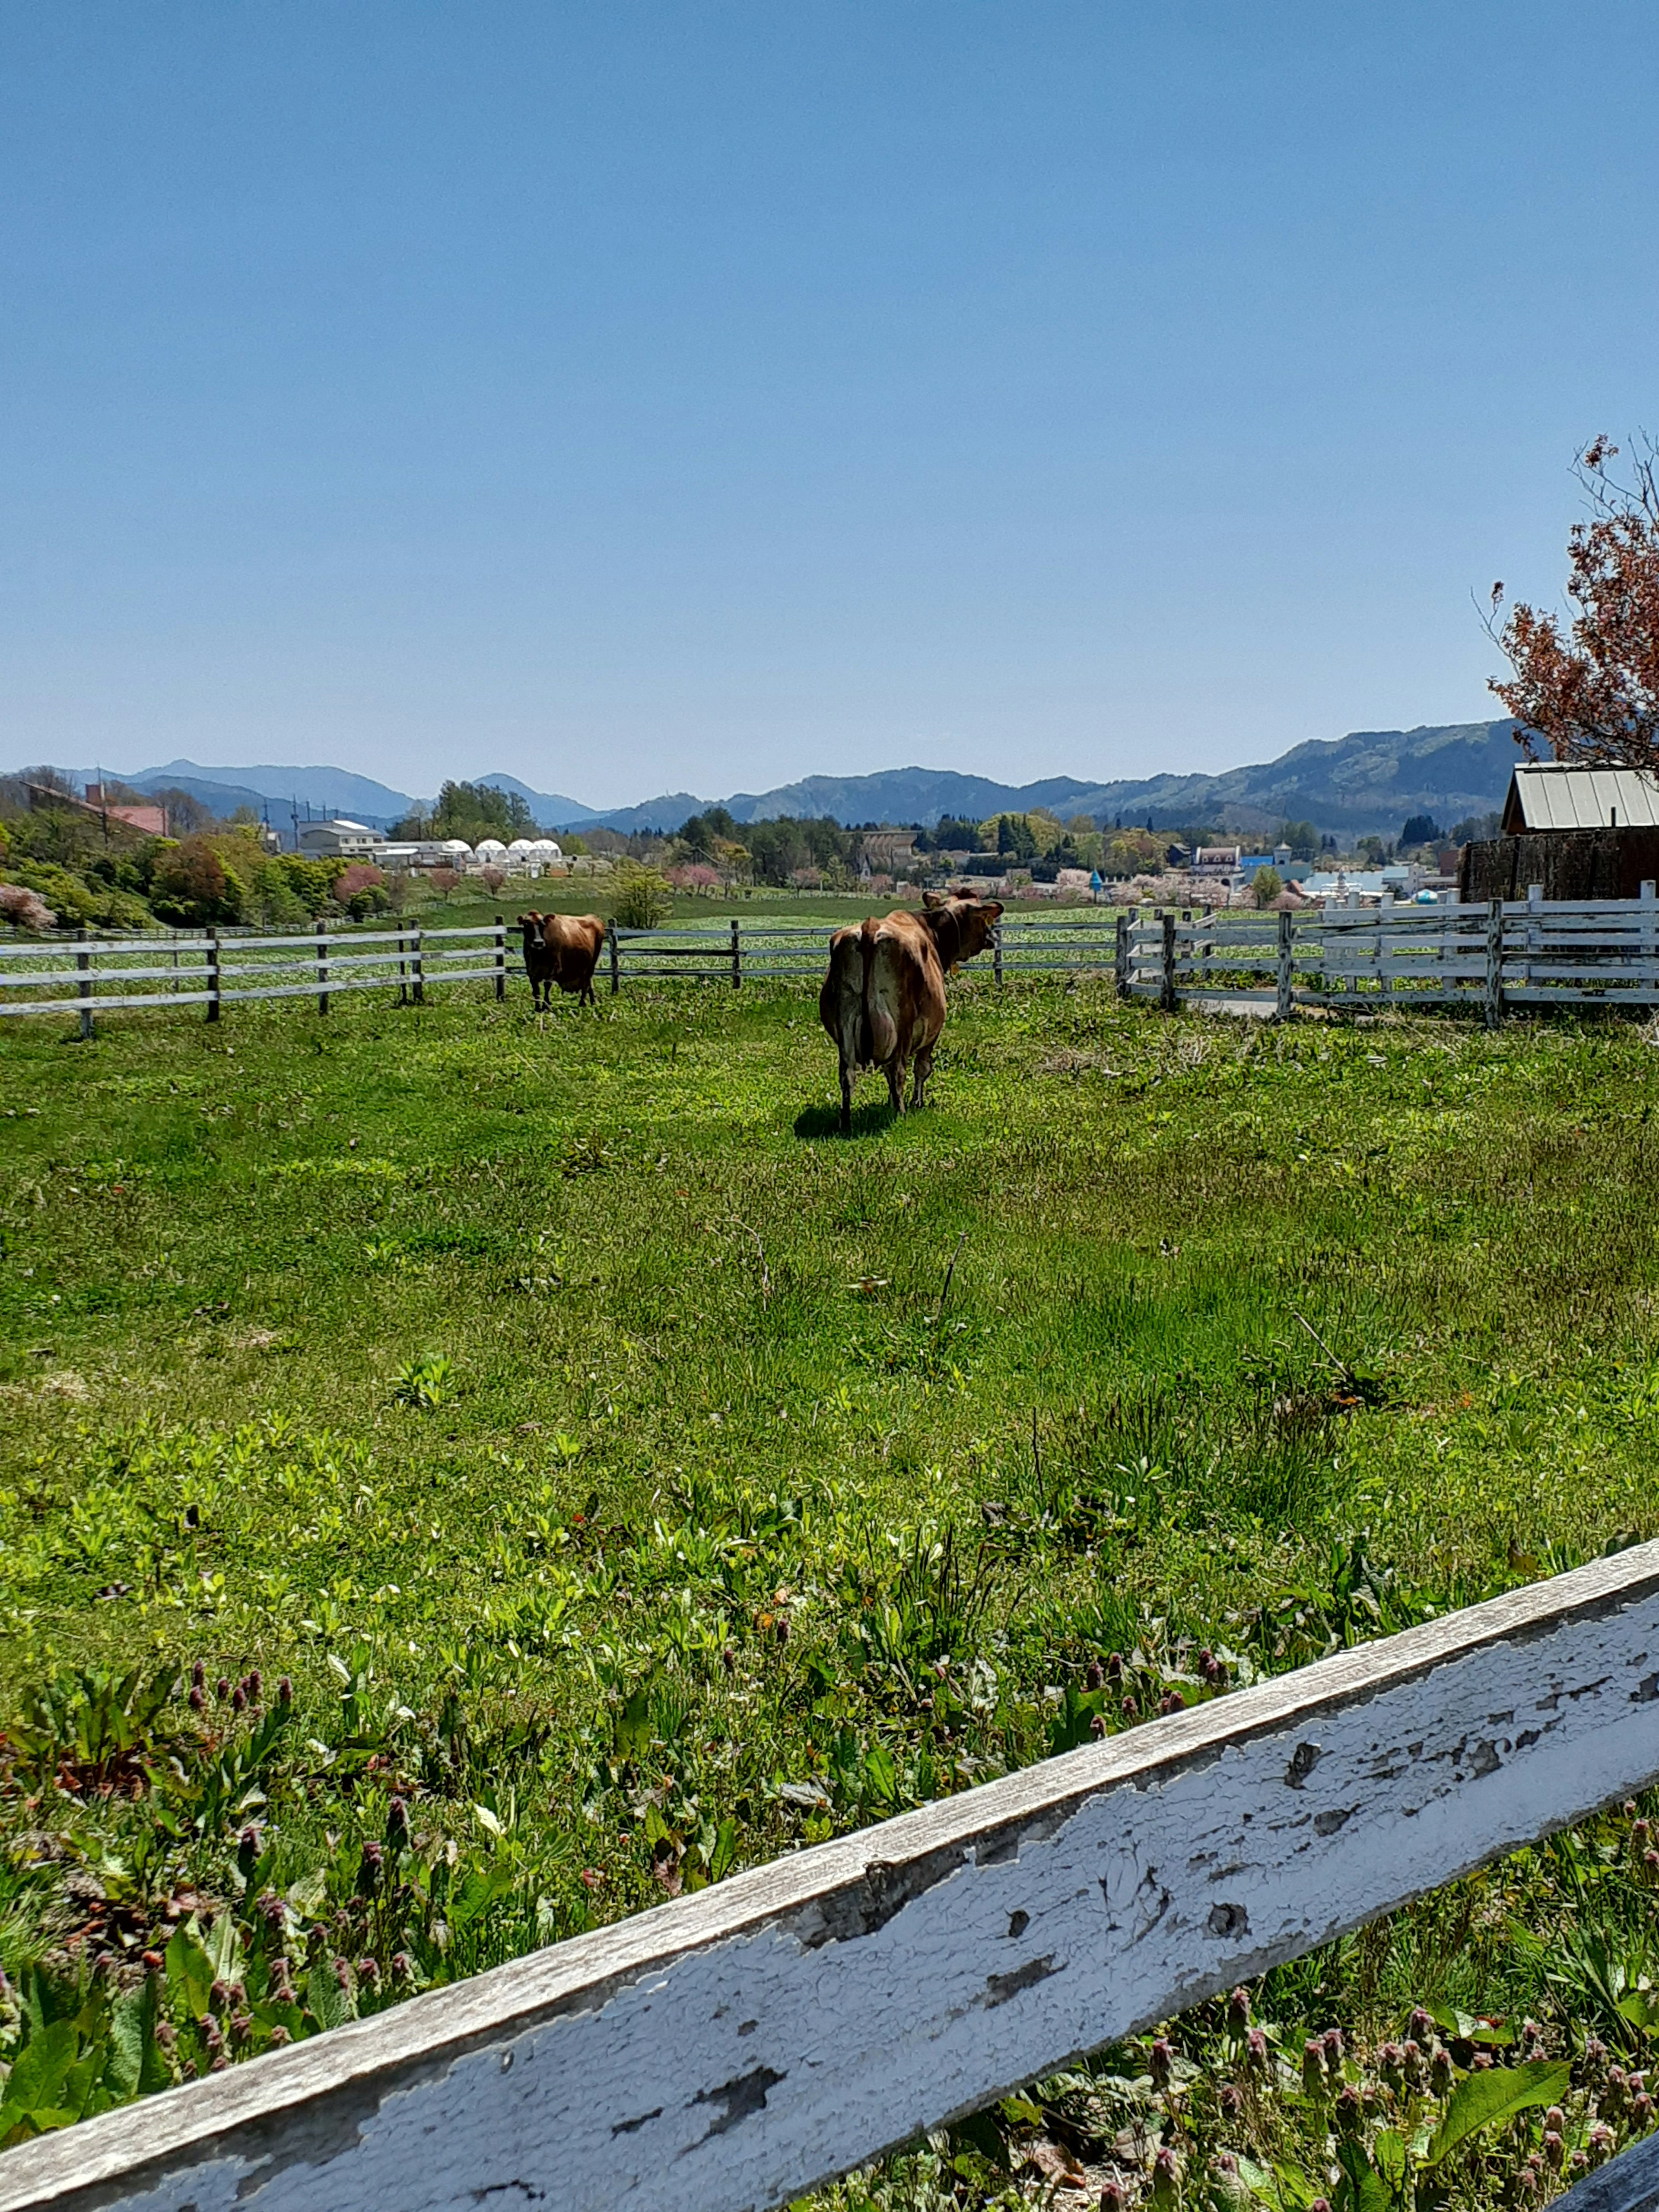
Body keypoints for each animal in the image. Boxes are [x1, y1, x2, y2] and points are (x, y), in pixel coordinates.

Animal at [520, 907, 610, 1013]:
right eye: (527, 925)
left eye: (543, 925)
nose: (539, 943)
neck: (539, 955)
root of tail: (594, 918)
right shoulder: (531, 971)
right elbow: (536, 990)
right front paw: (538, 1008)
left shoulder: (556, 966)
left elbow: (547, 985)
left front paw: (546, 1006)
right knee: (589, 984)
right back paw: (593, 1003)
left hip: (592, 964)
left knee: (587, 983)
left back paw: (582, 1004)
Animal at [818, 880, 1000, 1132]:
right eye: (983, 919)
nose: (993, 938)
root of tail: (870, 927)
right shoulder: (932, 1031)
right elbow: (922, 1068)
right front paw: (916, 1102)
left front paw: (890, 1101)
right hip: (903, 1024)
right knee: (898, 1069)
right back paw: (901, 1113)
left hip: (845, 1022)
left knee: (848, 1074)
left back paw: (846, 1121)